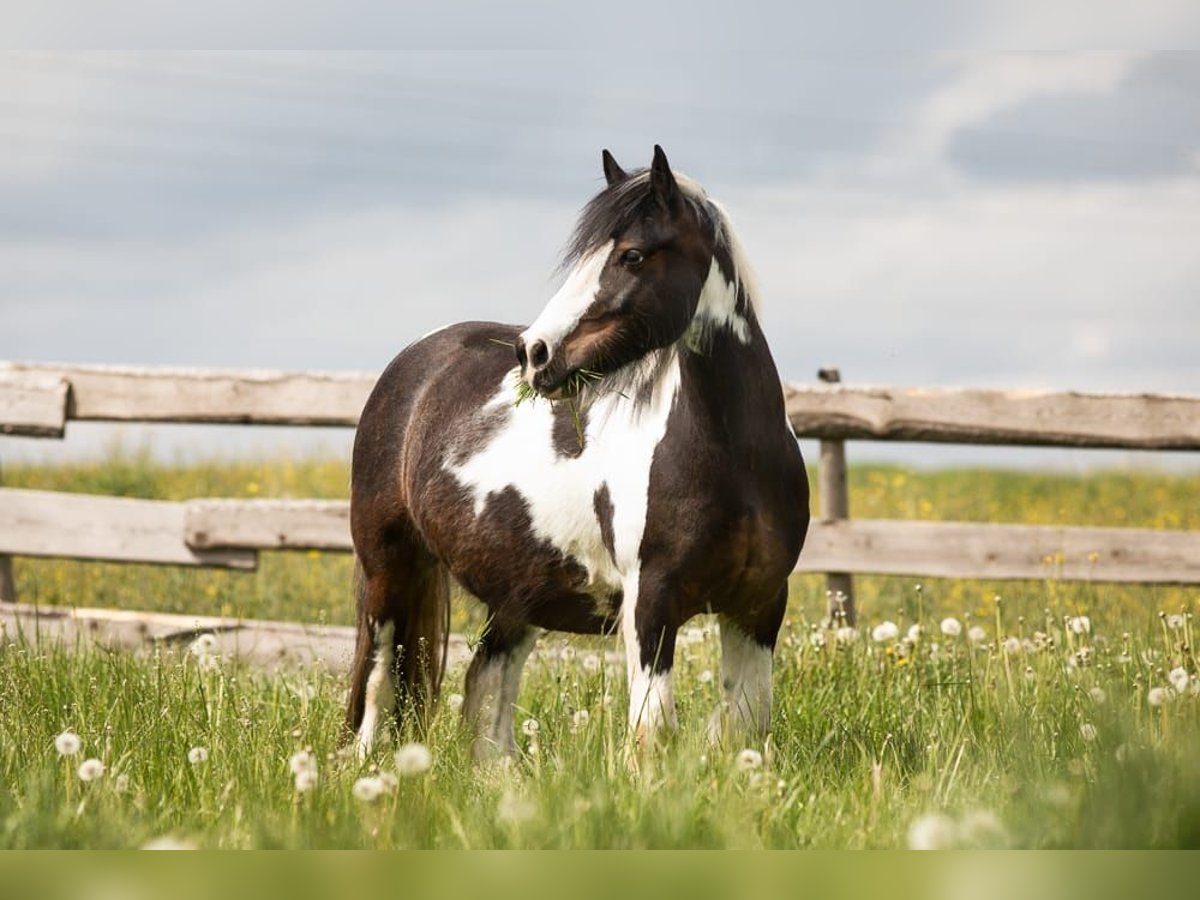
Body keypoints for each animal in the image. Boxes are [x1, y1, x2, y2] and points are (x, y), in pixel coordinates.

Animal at [348, 148, 811, 763]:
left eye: (632, 255)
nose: (534, 353)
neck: (737, 462)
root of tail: (414, 363)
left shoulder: (759, 605)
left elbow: (746, 723)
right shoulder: (650, 603)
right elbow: (652, 731)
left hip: (515, 595)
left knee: (487, 686)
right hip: (389, 568)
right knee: (379, 683)